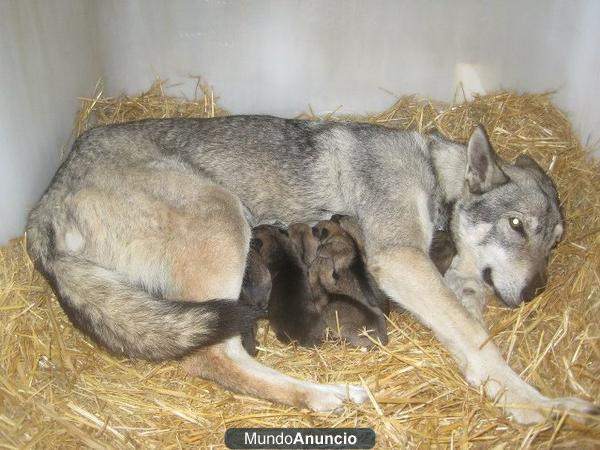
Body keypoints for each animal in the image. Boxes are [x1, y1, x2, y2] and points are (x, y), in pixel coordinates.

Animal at [29, 114, 600, 424]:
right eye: (517, 225)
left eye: (553, 243)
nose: (536, 291)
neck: (436, 178)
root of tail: (45, 202)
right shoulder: (399, 260)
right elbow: (484, 346)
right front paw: (538, 405)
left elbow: (469, 328)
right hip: (223, 220)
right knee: (211, 359)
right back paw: (328, 395)